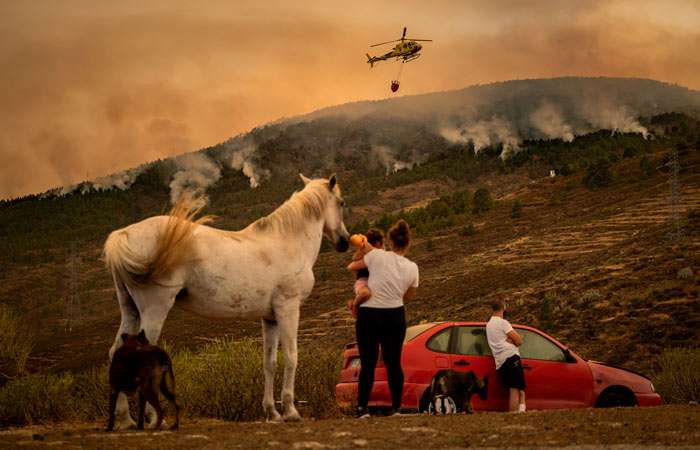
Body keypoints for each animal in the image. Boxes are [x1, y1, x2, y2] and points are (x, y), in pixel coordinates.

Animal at [104, 174, 350, 428]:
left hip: (131, 311)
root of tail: (122, 235)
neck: (287, 241)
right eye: (341, 202)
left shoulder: (270, 319)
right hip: (154, 310)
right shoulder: (288, 309)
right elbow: (291, 357)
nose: (345, 241)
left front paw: (272, 413)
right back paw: (155, 420)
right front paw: (290, 411)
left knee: (117, 352)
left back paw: (126, 419)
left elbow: (269, 363)